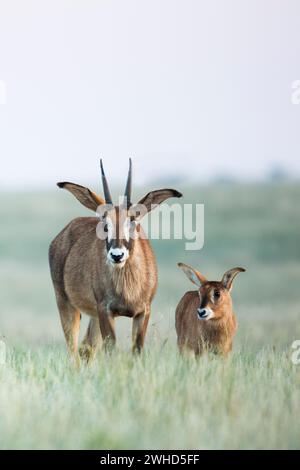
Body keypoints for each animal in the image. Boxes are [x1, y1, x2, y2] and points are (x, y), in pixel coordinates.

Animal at [48, 159, 182, 364]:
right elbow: (111, 350)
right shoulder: (106, 311)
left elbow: (137, 350)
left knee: (86, 349)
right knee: (74, 351)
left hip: (93, 315)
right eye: (105, 224)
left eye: (133, 220)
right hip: (66, 304)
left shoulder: (143, 312)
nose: (117, 255)